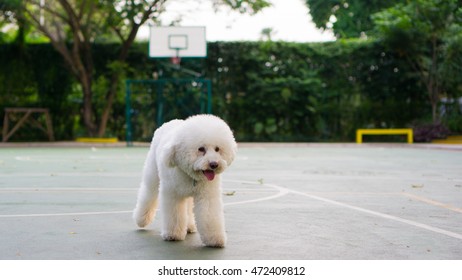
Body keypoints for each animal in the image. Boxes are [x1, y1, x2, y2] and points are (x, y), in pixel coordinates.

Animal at [132, 114, 236, 247]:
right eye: (201, 149)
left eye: (217, 149)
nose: (214, 164)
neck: (190, 175)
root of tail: (171, 122)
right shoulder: (173, 194)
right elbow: (175, 215)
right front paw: (173, 234)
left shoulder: (207, 195)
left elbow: (209, 215)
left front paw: (214, 239)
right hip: (153, 175)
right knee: (148, 194)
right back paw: (141, 219)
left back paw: (189, 226)